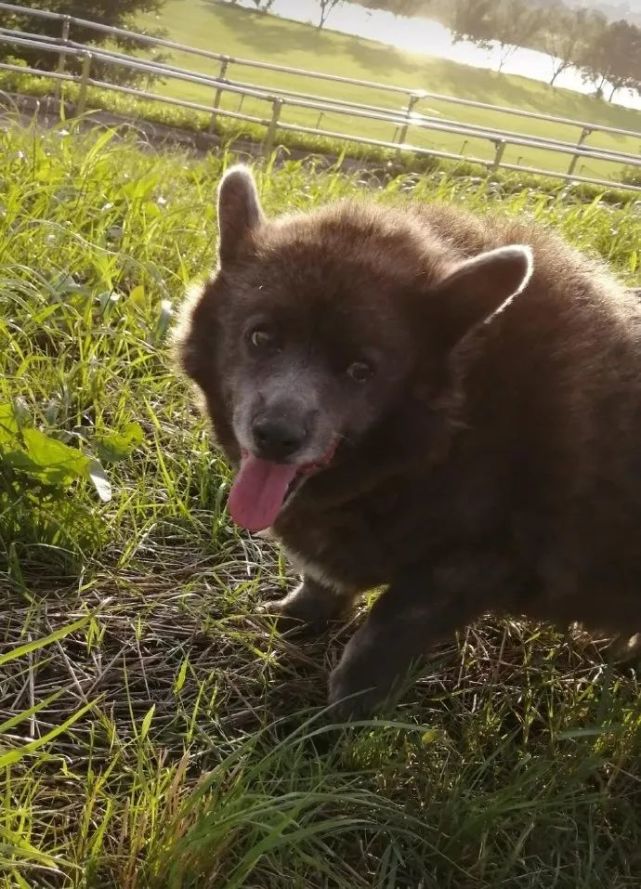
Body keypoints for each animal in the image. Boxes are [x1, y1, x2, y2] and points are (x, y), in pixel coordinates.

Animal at [172, 166, 640, 720]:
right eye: (261, 337)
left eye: (361, 370)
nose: (276, 438)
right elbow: (319, 581)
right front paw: (299, 615)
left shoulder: (463, 569)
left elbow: (382, 634)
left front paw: (344, 713)